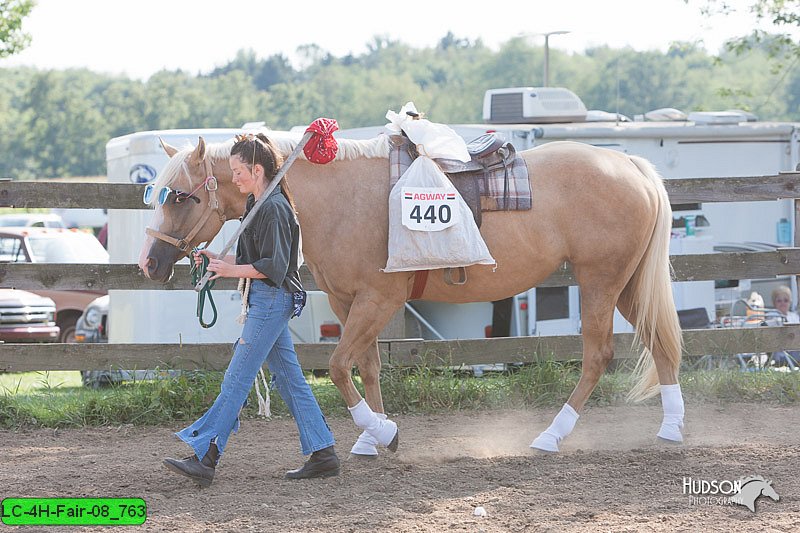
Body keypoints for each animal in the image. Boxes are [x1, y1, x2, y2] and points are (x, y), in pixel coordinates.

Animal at [141, 132, 684, 454]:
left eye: (182, 197)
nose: (149, 263)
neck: (339, 199)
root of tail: (629, 164)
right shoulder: (349, 302)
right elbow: (365, 366)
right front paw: (370, 437)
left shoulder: (378, 300)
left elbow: (338, 365)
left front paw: (380, 431)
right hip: (626, 284)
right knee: (660, 343)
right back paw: (671, 428)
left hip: (600, 281)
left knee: (598, 355)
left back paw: (552, 435)